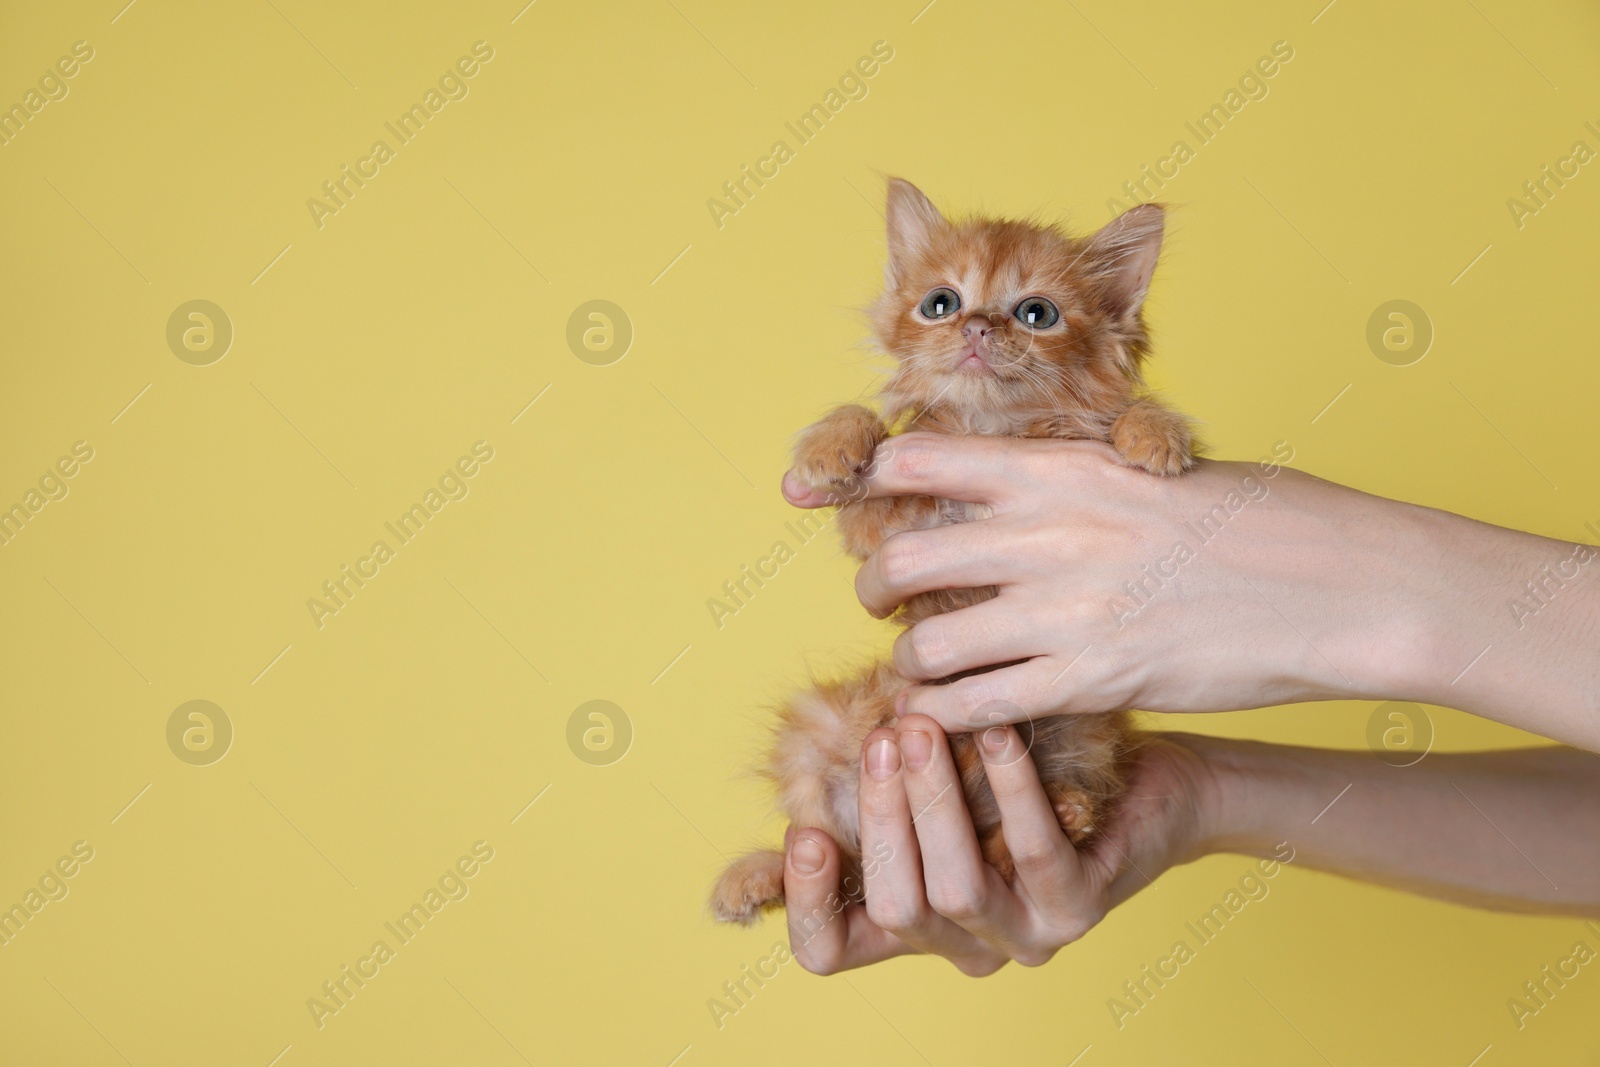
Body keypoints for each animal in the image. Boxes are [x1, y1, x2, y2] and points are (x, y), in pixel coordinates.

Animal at [707, 177, 1196, 927]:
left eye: (1036, 313)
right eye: (941, 303)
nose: (976, 328)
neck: (989, 428)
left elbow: (1121, 419)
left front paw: (1155, 432)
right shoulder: (885, 532)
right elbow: (869, 430)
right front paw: (829, 443)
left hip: (1083, 734)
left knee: (1019, 832)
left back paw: (1065, 810)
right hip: (817, 732)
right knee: (834, 860)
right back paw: (758, 875)